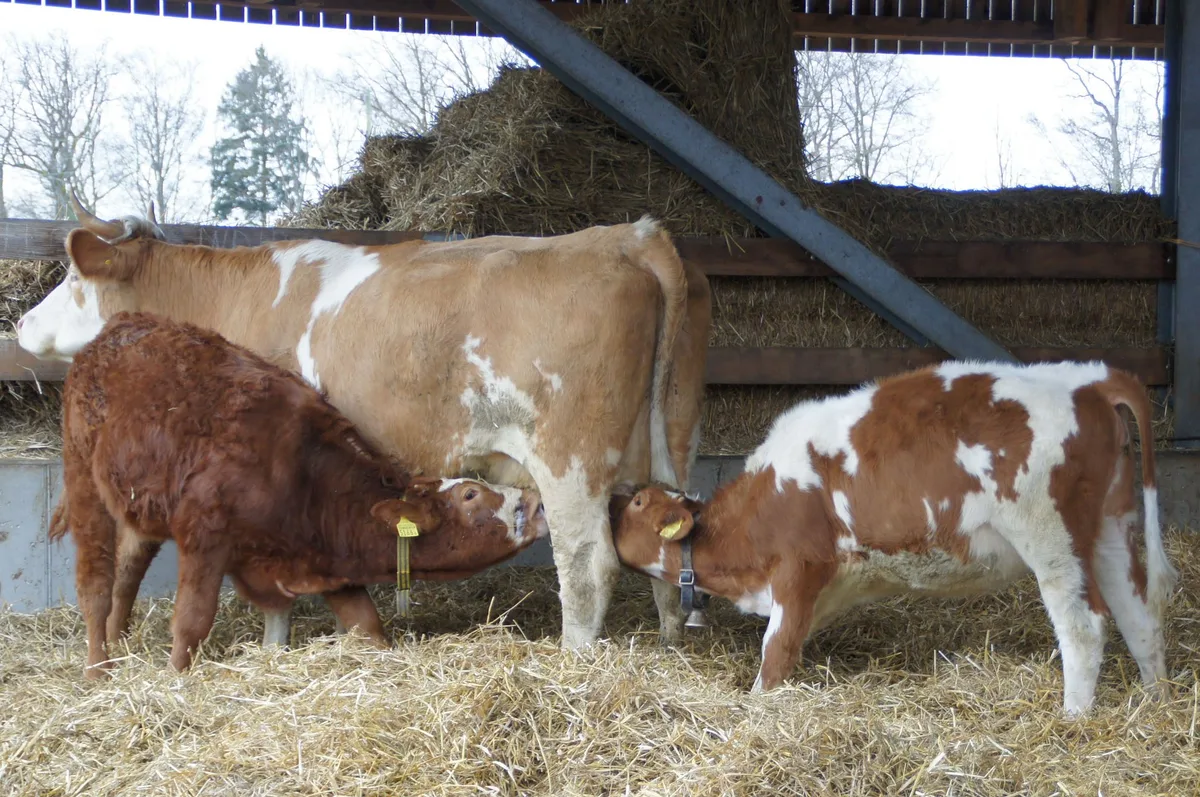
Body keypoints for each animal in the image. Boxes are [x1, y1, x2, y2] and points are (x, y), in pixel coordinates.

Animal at [53, 311, 550, 678]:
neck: (303, 476)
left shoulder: (324, 562)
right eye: (469, 494)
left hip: (140, 504)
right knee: (95, 582)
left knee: (127, 570)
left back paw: (119, 643)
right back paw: (98, 669)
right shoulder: (204, 534)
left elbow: (364, 624)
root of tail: (122, 324)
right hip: (81, 477)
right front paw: (176, 680)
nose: (536, 503)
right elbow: (192, 621)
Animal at [609, 361, 1177, 718]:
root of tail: (1088, 377)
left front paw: (757, 706)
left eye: (637, 505)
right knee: (1140, 615)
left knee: (1084, 626)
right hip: (1112, 529)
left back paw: (1074, 718)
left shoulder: (798, 570)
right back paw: (1156, 703)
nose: (611, 501)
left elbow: (776, 656)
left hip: (1052, 538)